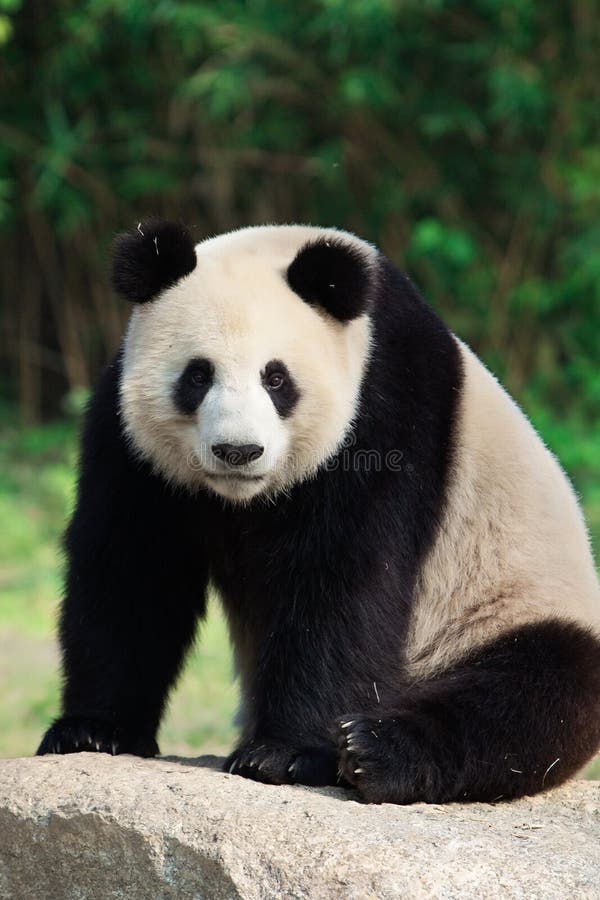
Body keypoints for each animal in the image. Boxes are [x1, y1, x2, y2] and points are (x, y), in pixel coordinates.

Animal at [37, 216, 600, 800]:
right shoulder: (130, 440)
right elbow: (133, 570)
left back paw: (376, 749)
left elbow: (342, 580)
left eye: (276, 378)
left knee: (535, 693)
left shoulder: (384, 410)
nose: (238, 451)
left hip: (507, 605)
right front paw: (93, 730)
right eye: (197, 375)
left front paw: (286, 755)